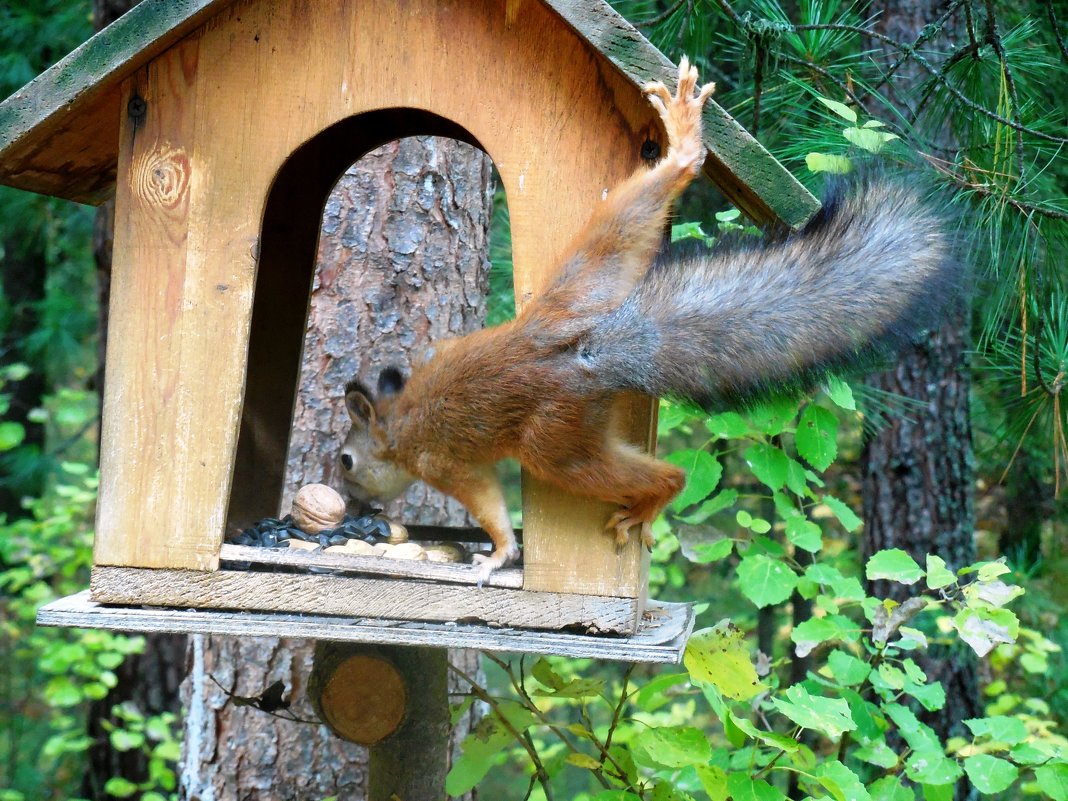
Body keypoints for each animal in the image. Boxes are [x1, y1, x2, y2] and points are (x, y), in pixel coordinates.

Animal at [339, 57, 952, 585]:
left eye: (346, 461)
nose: (352, 505)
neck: (399, 416)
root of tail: (586, 350)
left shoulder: (443, 463)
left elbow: (486, 502)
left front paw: (499, 554)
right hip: (594, 269)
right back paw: (683, 144)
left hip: (555, 443)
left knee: (658, 474)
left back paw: (650, 501)